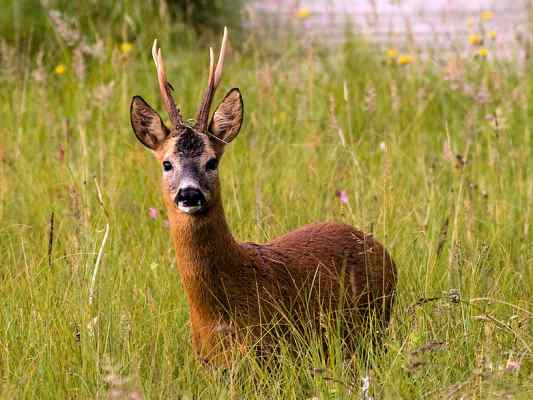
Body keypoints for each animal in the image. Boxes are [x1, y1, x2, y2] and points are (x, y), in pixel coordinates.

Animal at [129, 28, 394, 364]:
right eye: (167, 163)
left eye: (211, 162)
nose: (189, 193)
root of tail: (383, 250)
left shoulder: (273, 352)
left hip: (375, 327)